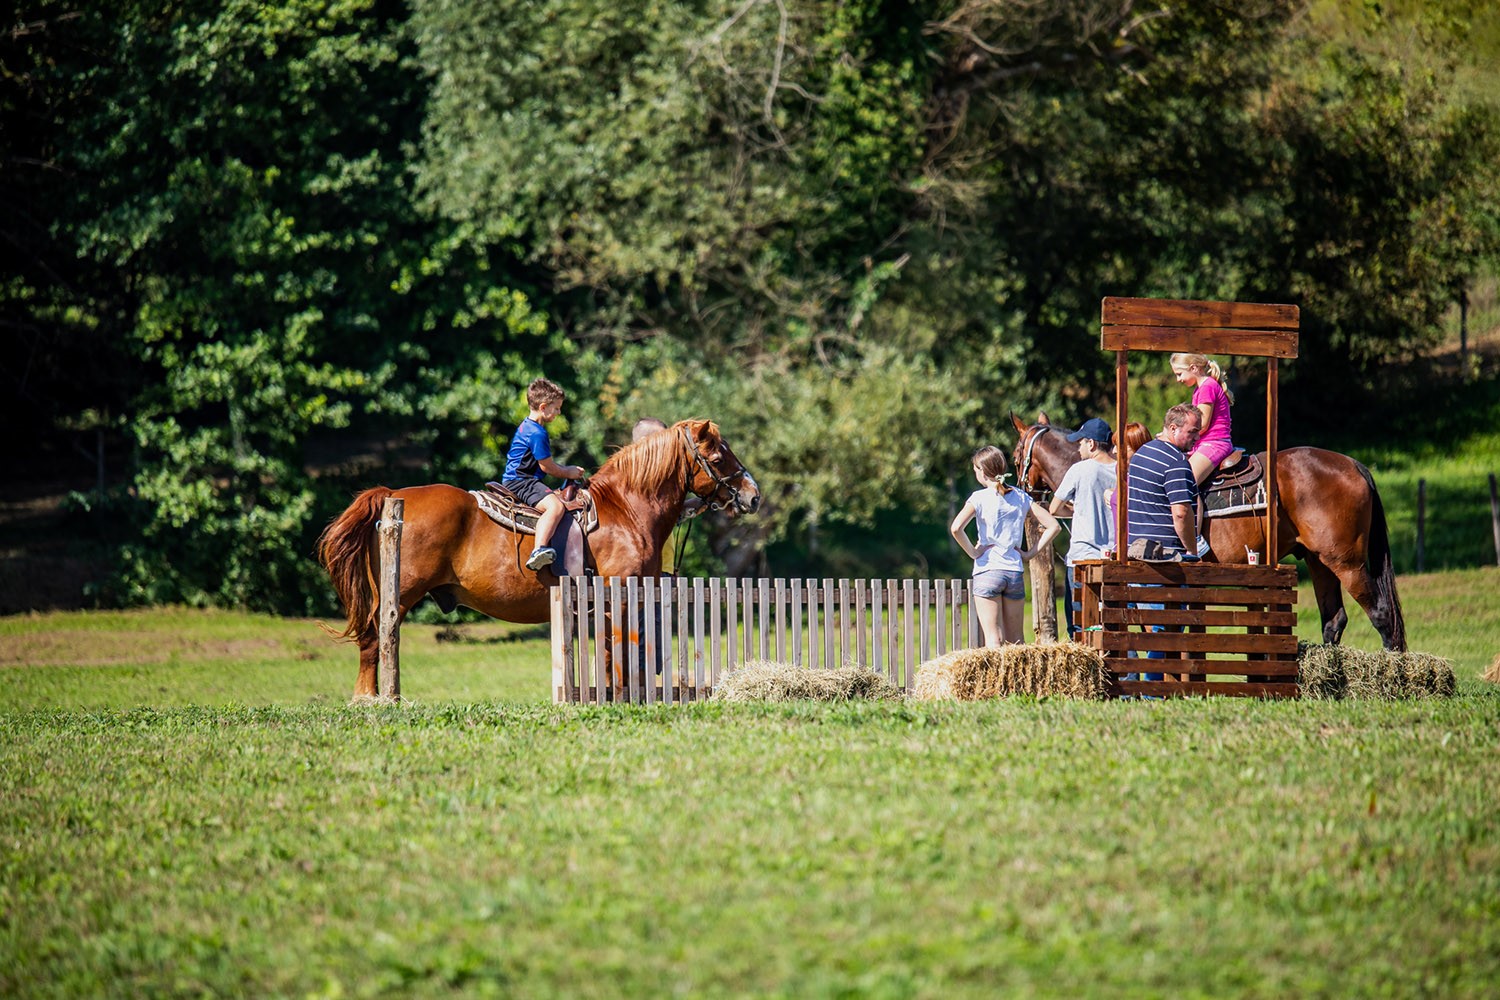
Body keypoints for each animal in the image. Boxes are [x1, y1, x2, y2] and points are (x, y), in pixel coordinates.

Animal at [318, 416, 762, 695]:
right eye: (718, 457)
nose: (753, 495)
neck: (626, 509)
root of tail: (394, 495)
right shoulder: (617, 597)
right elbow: (616, 653)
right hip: (399, 595)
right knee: (376, 636)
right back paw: (371, 697)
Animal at [1008, 413, 1404, 653]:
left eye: (1015, 456)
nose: (1025, 492)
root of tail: (1353, 464)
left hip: (1347, 562)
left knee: (1382, 613)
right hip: (1319, 560)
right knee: (1334, 620)